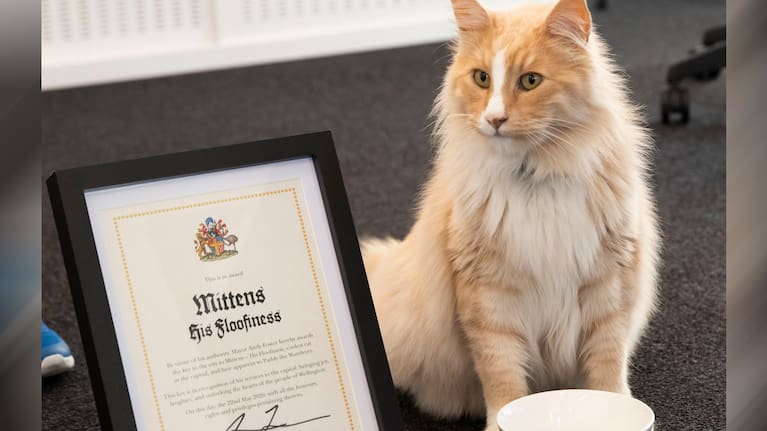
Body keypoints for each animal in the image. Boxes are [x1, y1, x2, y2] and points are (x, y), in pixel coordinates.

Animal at [364, 0, 660, 431]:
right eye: (482, 78)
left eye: (531, 81)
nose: (495, 119)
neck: (536, 178)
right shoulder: (488, 296)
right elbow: (501, 373)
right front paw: (500, 419)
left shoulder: (609, 282)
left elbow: (608, 363)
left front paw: (614, 407)